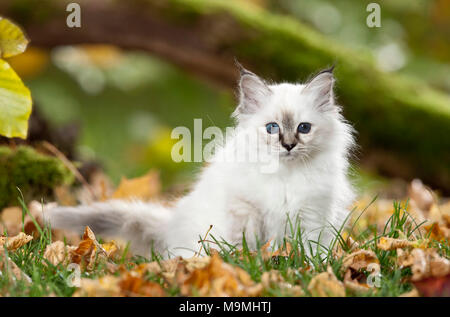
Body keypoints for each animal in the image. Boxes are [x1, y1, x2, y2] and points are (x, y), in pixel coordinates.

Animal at [44, 65, 356, 258]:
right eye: (272, 128)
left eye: (304, 128)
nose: (289, 145)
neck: (285, 176)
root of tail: (171, 223)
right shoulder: (245, 210)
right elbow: (248, 244)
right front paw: (248, 263)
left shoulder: (312, 215)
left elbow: (310, 250)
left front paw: (304, 267)